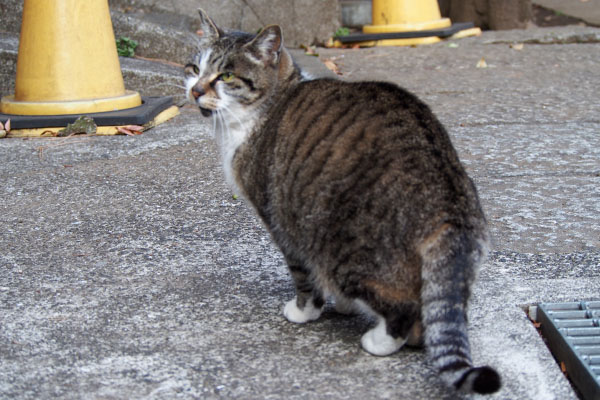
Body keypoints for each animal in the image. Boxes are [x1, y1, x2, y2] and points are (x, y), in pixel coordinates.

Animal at [186, 8, 502, 394]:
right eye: (194, 68)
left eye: (227, 75)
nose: (195, 90)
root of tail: (449, 196)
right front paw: (343, 306)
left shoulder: (282, 222)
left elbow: (304, 278)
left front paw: (304, 311)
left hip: (342, 246)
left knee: (403, 310)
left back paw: (378, 341)